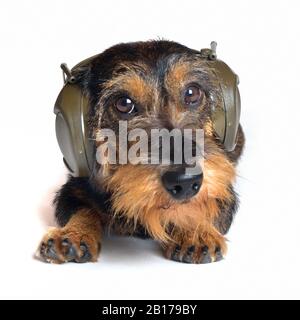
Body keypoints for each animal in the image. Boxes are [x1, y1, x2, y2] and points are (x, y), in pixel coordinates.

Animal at [38, 40, 244, 264]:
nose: (185, 182)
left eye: (192, 93)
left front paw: (195, 233)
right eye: (124, 103)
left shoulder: (223, 186)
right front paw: (72, 235)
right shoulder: (73, 189)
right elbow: (81, 209)